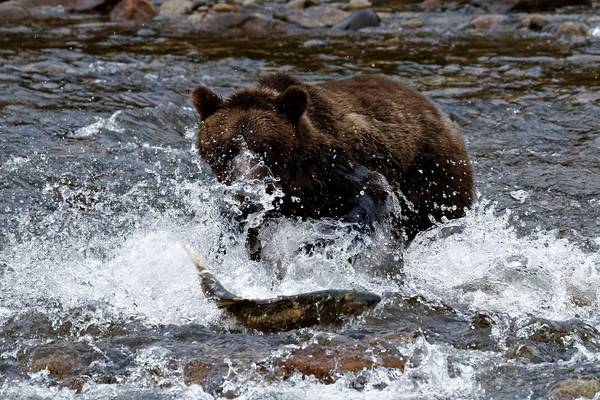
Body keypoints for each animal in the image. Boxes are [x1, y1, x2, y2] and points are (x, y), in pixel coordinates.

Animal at [192, 72, 474, 247]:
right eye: (225, 149)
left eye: (265, 149)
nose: (245, 194)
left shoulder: (335, 168)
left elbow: (369, 195)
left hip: (433, 173)